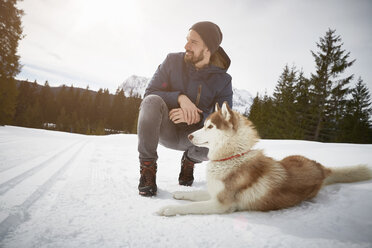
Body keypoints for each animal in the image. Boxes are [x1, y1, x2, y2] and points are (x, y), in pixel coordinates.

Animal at [157, 101, 372, 216]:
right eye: (204, 124)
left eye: (210, 127)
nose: (189, 136)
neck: (232, 157)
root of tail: (321, 168)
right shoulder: (215, 192)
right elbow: (195, 195)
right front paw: (179, 193)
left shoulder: (221, 204)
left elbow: (194, 206)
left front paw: (167, 208)